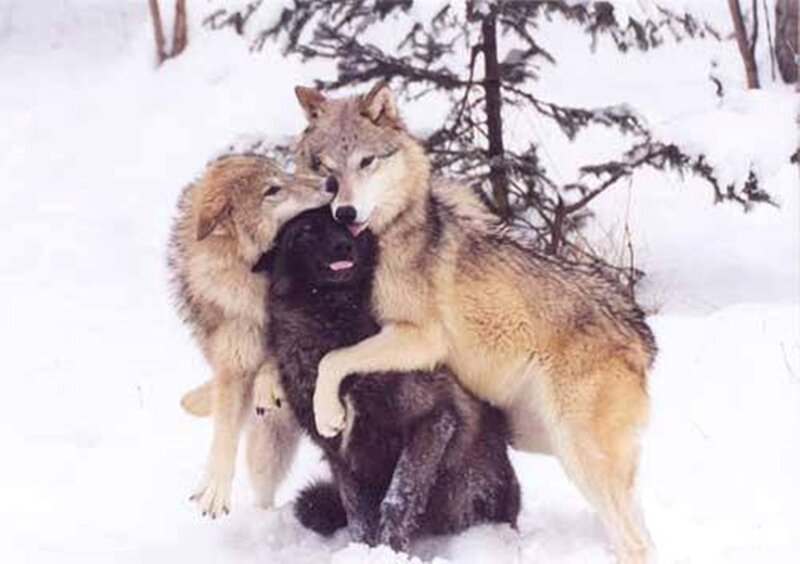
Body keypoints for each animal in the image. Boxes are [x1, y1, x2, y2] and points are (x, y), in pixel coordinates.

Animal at [167, 154, 329, 517]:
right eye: (272, 190)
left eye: (284, 173)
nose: (331, 182)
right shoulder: (233, 367)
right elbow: (224, 434)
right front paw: (214, 493)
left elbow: (274, 360)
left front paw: (268, 382)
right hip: (267, 446)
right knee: (262, 492)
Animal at [252, 207, 520, 551]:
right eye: (306, 230)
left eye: (352, 227)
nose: (343, 246)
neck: (333, 325)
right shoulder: (338, 453)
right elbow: (357, 514)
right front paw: (364, 550)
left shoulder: (434, 419)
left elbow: (397, 500)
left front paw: (389, 549)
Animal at [292, 82, 657, 563]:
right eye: (325, 169)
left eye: (366, 162)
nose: (344, 213)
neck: (385, 239)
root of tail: (638, 332)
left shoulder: (420, 339)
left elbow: (333, 359)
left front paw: (328, 415)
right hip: (544, 441)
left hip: (577, 454)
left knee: (634, 541)